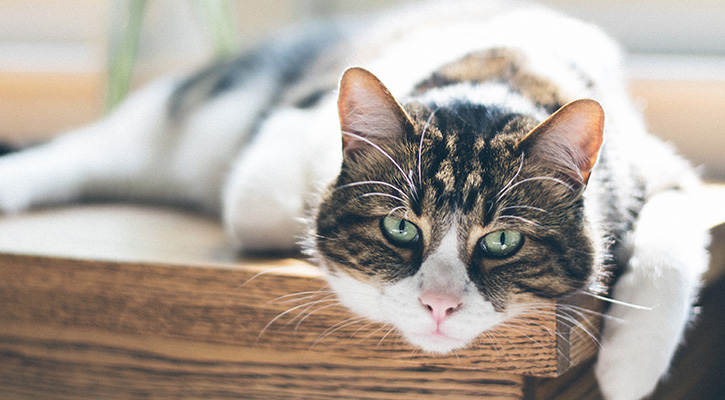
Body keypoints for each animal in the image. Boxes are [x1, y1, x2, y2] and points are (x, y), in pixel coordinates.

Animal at [0, 1, 708, 398]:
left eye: (503, 241)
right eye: (400, 229)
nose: (439, 305)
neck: (494, 73)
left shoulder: (661, 166)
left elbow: (673, 244)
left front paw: (627, 370)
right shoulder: (280, 148)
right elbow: (270, 206)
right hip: (177, 123)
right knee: (77, 152)